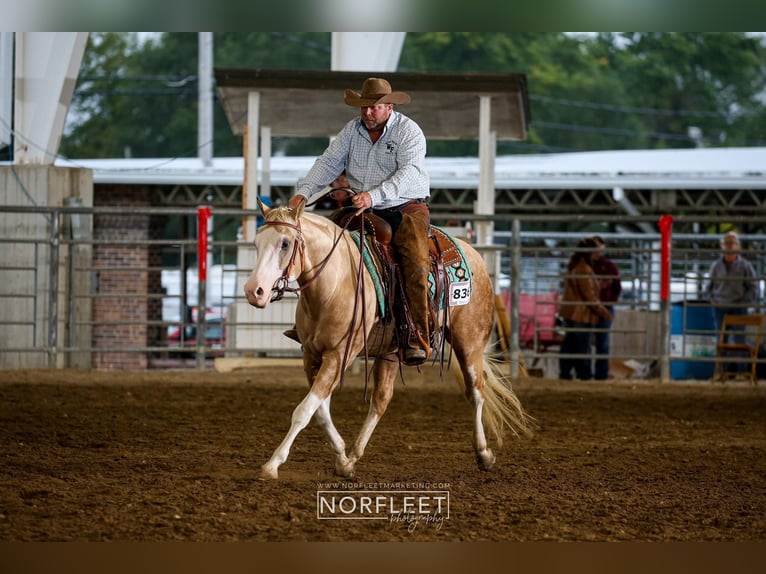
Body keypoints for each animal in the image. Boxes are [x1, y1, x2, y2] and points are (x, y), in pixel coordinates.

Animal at [243, 200, 532, 480]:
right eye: (256, 243)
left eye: (285, 243)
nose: (253, 291)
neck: (335, 284)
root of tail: (473, 253)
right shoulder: (311, 356)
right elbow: (320, 412)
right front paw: (342, 459)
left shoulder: (338, 355)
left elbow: (303, 411)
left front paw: (272, 465)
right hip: (391, 351)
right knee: (381, 400)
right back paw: (354, 456)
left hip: (469, 342)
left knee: (476, 393)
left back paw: (484, 454)